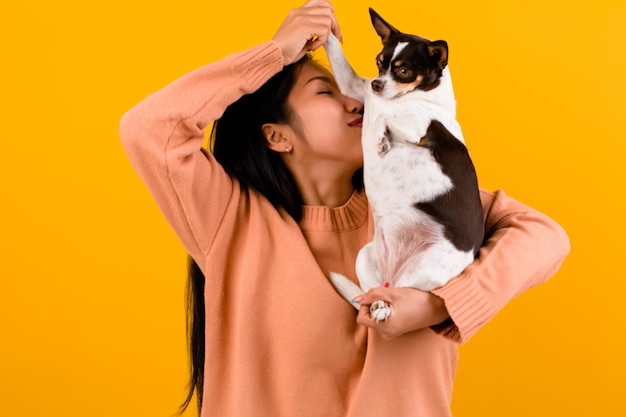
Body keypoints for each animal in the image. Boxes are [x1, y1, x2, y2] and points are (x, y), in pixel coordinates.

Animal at [322, 8, 482, 322]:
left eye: (404, 71)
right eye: (379, 63)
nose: (376, 84)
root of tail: (392, 270)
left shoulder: (421, 128)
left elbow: (388, 117)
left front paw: (380, 138)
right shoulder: (356, 88)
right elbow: (339, 57)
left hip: (424, 267)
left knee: (397, 291)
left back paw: (385, 307)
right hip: (366, 257)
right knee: (376, 291)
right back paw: (377, 306)